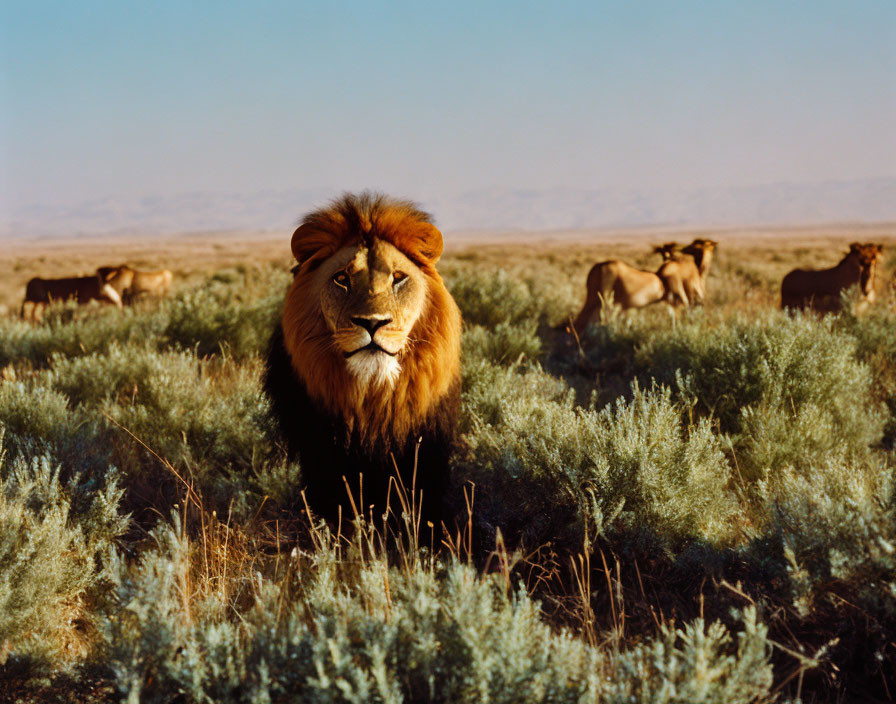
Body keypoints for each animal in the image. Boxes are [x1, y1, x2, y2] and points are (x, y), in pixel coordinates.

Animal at [262, 190, 462, 536]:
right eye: (341, 279)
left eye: (398, 278)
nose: (372, 322)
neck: (373, 397)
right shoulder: (322, 449)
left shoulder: (424, 447)